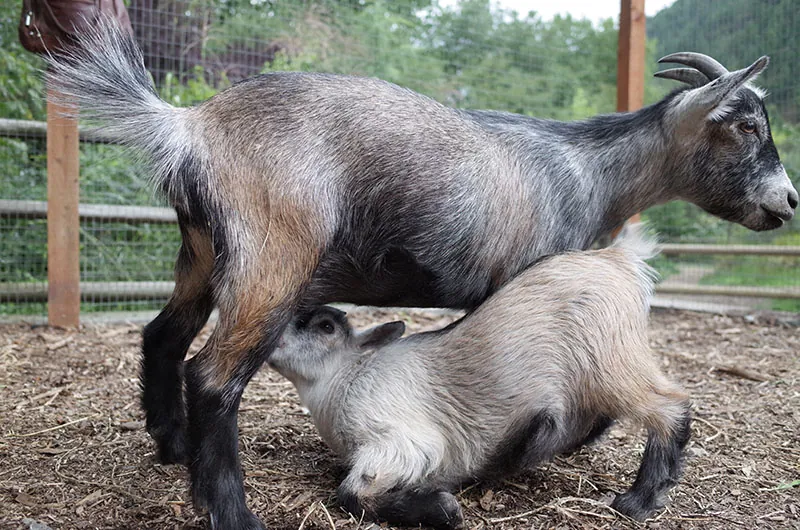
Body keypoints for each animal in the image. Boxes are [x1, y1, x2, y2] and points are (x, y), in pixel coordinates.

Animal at [268, 226, 690, 528]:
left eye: (325, 326)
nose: (271, 336)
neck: (345, 381)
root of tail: (617, 257)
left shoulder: (400, 442)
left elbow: (351, 494)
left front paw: (440, 508)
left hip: (611, 359)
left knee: (670, 407)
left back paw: (638, 501)